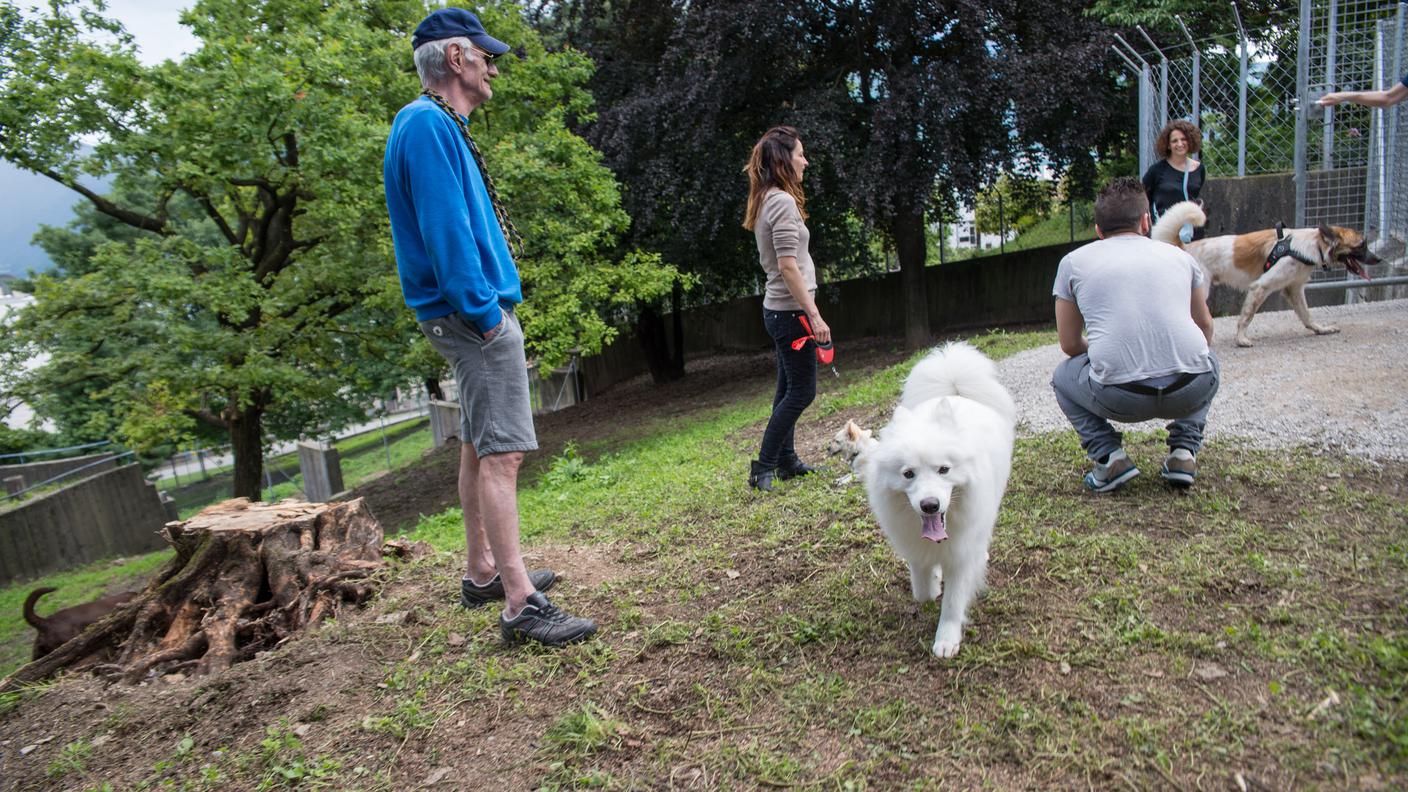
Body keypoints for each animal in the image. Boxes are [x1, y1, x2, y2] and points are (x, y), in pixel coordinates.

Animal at [856, 339, 1013, 653]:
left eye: (944, 470)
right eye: (908, 474)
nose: (930, 505)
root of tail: (954, 390)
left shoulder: (962, 555)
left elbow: (953, 602)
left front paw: (946, 640)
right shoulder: (916, 549)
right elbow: (922, 589)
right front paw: (931, 586)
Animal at [1154, 198, 1374, 343]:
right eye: (1361, 245)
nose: (1378, 259)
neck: (1310, 245)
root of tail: (1182, 247)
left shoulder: (1294, 289)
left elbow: (1306, 315)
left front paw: (1321, 329)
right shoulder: (1260, 287)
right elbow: (1247, 316)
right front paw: (1241, 339)